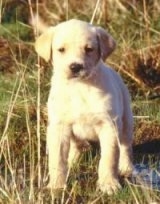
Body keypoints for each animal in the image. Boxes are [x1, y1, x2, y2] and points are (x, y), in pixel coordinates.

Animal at [35, 19, 134, 194]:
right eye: (61, 50)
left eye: (89, 49)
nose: (75, 66)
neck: (79, 87)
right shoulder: (59, 126)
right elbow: (57, 159)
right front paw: (56, 186)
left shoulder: (109, 125)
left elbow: (109, 158)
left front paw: (109, 184)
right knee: (76, 146)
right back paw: (73, 161)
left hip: (126, 121)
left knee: (125, 147)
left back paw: (126, 167)